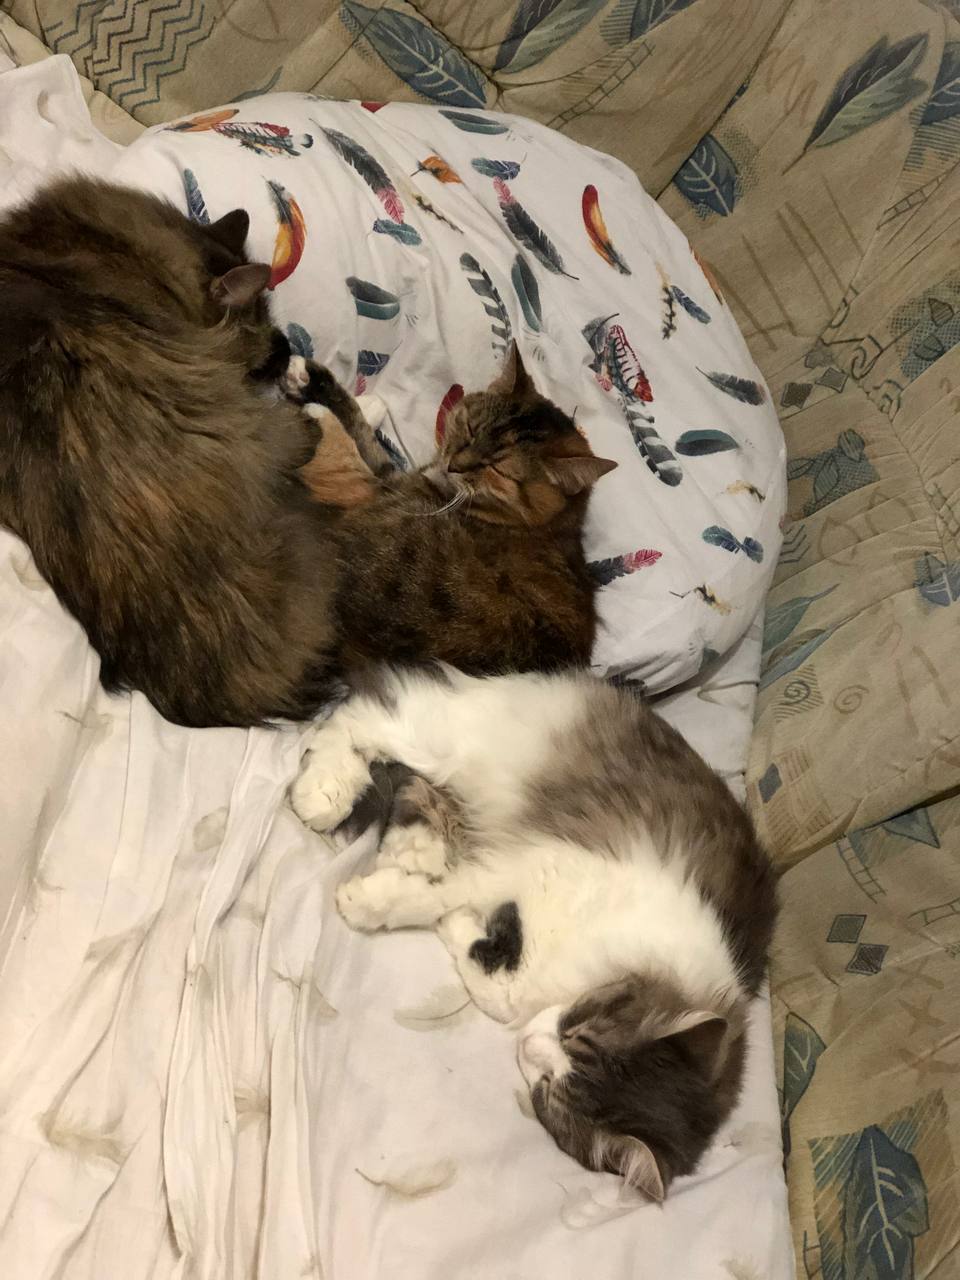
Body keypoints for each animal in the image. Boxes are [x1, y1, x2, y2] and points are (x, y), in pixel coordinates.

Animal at [290, 665, 777, 1199]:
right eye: (575, 1032)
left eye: (548, 1087)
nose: (529, 1044)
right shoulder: (541, 865)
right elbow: (446, 895)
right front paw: (365, 902)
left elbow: (486, 974)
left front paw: (439, 915)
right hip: (455, 744)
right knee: (364, 717)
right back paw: (322, 795)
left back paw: (415, 847)